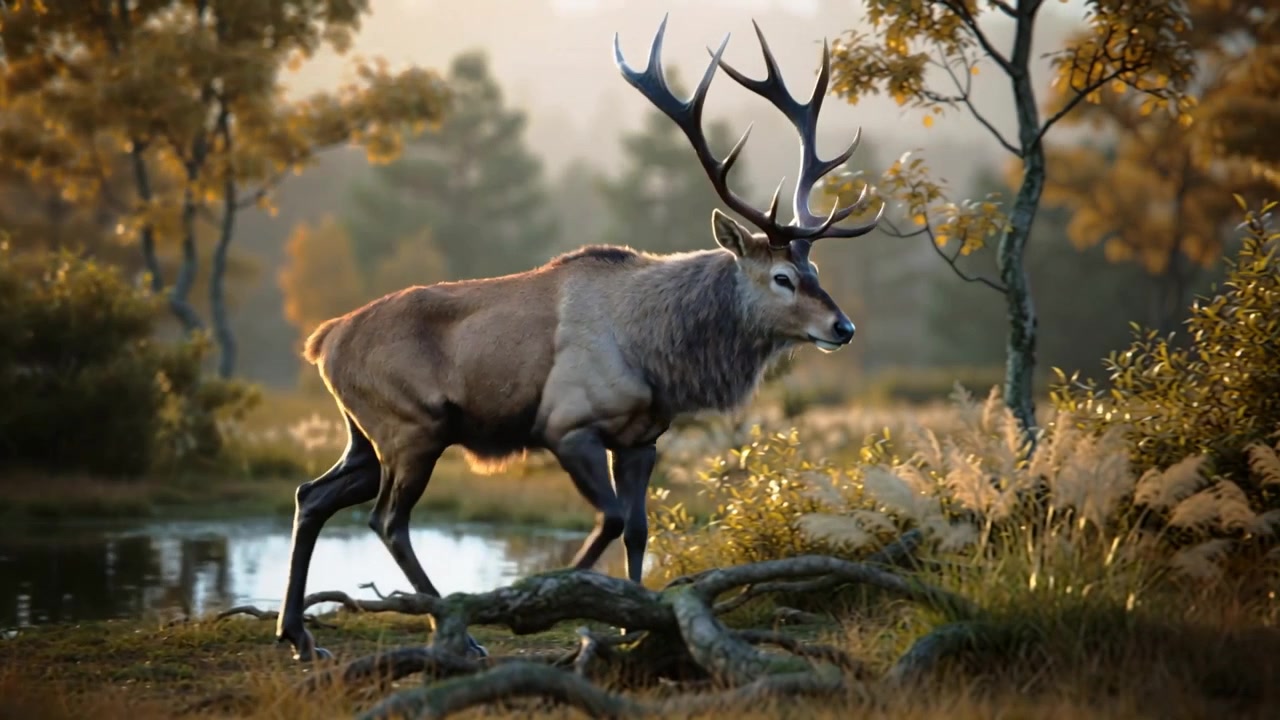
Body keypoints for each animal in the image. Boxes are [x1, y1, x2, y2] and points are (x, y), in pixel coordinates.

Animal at [273, 14, 884, 663]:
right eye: (783, 277)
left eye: (815, 271)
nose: (842, 327)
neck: (657, 356)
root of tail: (324, 339)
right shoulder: (566, 425)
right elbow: (610, 520)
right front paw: (554, 596)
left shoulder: (643, 440)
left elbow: (638, 527)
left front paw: (635, 623)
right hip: (414, 426)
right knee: (387, 519)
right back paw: (458, 631)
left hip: (365, 434)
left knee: (312, 494)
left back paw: (298, 634)